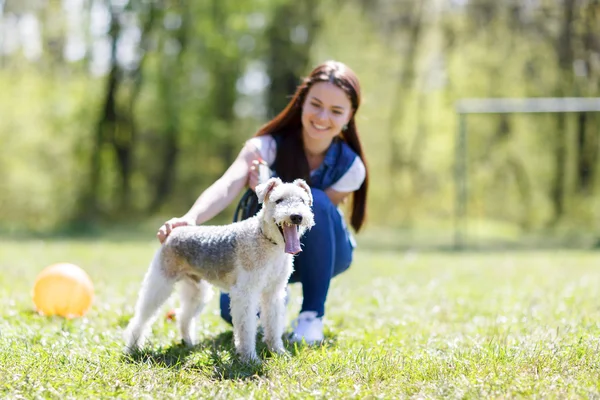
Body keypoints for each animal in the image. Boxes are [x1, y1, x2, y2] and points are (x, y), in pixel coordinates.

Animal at [124, 178, 316, 362]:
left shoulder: (273, 293)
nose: (296, 216)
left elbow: (273, 324)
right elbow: (246, 329)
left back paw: (189, 342)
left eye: (302, 200)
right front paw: (250, 359)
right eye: (279, 200)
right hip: (161, 282)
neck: (267, 240)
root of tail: (174, 232)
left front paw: (278, 352)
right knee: (141, 318)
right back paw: (132, 348)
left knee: (183, 317)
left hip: (197, 291)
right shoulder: (245, 293)